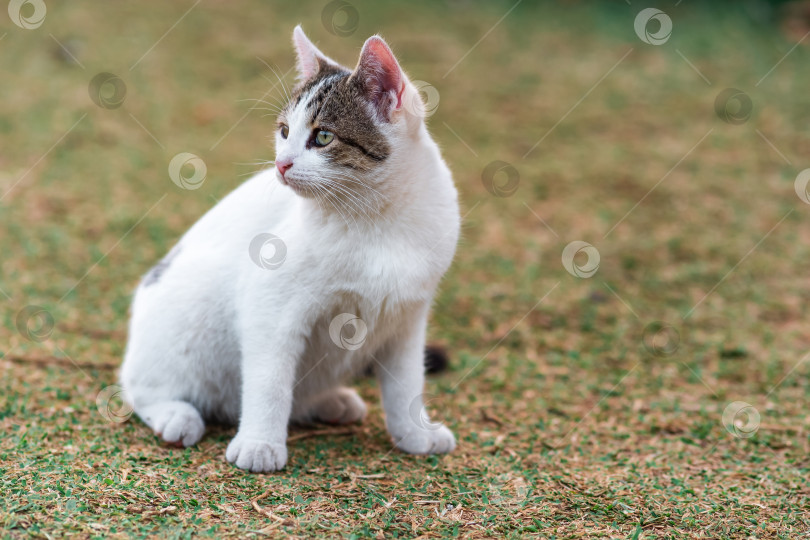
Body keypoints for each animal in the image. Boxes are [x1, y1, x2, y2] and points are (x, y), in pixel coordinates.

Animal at [120, 25, 460, 472]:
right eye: (284, 131)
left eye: (323, 136)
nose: (281, 165)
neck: (374, 220)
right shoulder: (269, 303)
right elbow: (269, 380)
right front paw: (259, 445)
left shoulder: (407, 317)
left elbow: (406, 383)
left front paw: (415, 435)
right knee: (141, 387)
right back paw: (177, 415)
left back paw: (331, 402)